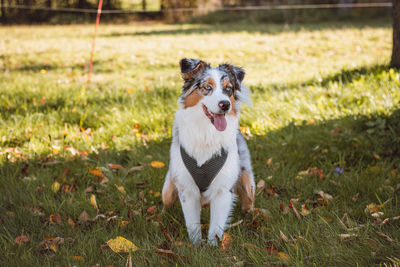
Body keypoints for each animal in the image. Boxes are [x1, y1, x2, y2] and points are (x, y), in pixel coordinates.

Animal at [161, 58, 255, 245]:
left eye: (228, 89)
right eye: (207, 87)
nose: (225, 104)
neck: (206, 132)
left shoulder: (223, 189)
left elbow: (216, 226)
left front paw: (213, 246)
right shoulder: (187, 188)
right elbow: (193, 224)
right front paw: (196, 245)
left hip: (248, 180)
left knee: (248, 197)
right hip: (168, 189)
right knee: (167, 197)